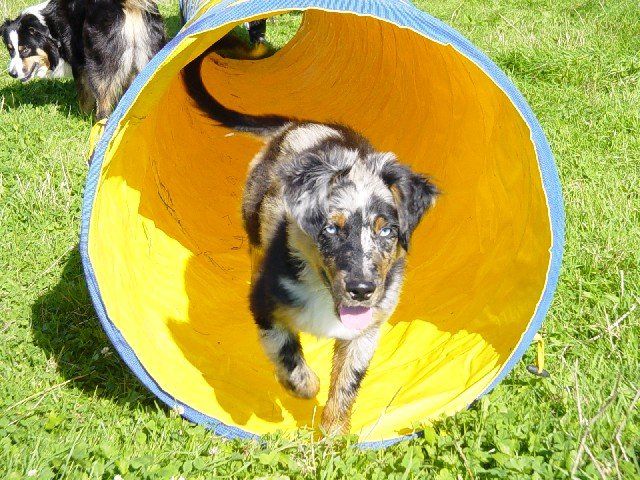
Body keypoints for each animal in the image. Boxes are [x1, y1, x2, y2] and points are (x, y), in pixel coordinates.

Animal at [1, 0, 166, 119]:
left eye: (25, 49)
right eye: (10, 49)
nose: (12, 74)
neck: (50, 27)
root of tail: (126, 6)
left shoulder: (79, 66)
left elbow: (84, 97)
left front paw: (83, 116)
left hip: (99, 66)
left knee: (104, 104)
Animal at [183, 49, 438, 435]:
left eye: (387, 231)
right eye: (330, 229)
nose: (361, 290)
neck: (322, 291)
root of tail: (297, 124)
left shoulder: (367, 328)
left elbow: (347, 383)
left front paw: (334, 436)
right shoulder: (266, 304)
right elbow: (288, 356)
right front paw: (304, 388)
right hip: (252, 212)